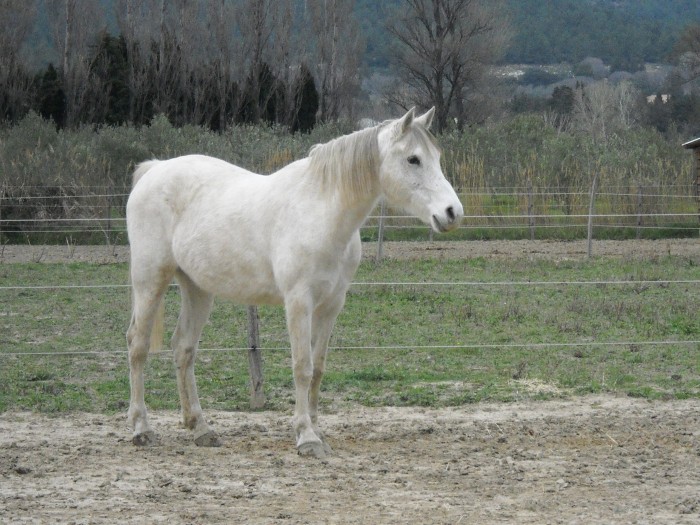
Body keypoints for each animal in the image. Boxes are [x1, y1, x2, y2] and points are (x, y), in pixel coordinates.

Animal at [126, 108, 464, 456]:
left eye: (436, 156)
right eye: (413, 159)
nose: (452, 212)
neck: (321, 213)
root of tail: (154, 169)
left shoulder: (331, 306)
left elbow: (318, 367)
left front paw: (315, 428)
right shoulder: (299, 302)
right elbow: (302, 367)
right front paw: (306, 437)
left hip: (197, 289)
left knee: (183, 348)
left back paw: (200, 428)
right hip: (150, 280)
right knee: (137, 346)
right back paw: (142, 428)